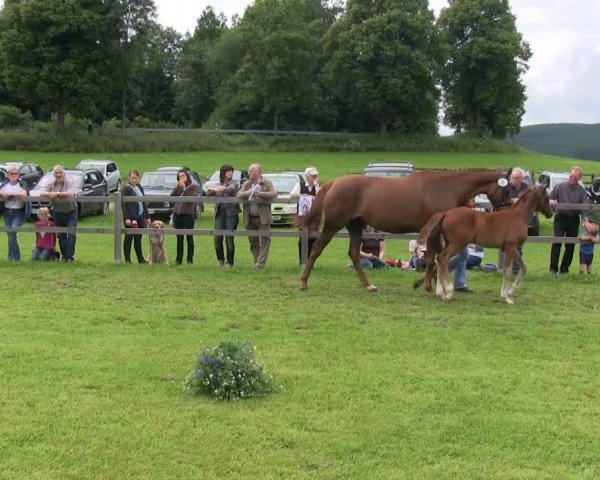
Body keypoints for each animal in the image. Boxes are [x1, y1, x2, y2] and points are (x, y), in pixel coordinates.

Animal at [296, 167, 510, 290]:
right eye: (507, 189)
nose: (507, 207)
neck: (446, 187)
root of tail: (335, 182)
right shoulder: (434, 232)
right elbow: (433, 259)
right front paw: (426, 285)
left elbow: (435, 258)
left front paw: (427, 283)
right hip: (333, 225)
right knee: (316, 250)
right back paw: (304, 282)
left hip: (355, 226)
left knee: (354, 254)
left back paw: (368, 285)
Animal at [418, 184, 552, 304]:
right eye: (546, 197)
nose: (550, 213)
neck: (518, 217)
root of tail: (446, 213)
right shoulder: (510, 246)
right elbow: (507, 271)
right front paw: (506, 297)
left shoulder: (512, 248)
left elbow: (523, 268)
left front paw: (510, 291)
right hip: (458, 243)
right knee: (442, 258)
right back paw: (448, 291)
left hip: (448, 242)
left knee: (439, 260)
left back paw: (441, 293)